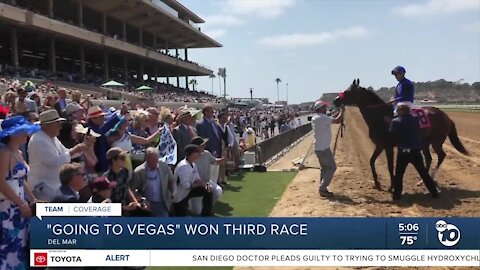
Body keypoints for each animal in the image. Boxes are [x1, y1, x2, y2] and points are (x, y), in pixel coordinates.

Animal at [334, 79, 468, 191]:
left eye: (348, 91)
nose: (335, 100)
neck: (381, 117)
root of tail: (446, 116)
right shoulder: (379, 145)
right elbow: (371, 161)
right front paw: (377, 184)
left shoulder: (388, 146)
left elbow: (389, 166)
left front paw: (391, 186)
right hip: (425, 142)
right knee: (429, 158)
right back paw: (422, 181)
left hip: (436, 141)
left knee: (441, 156)